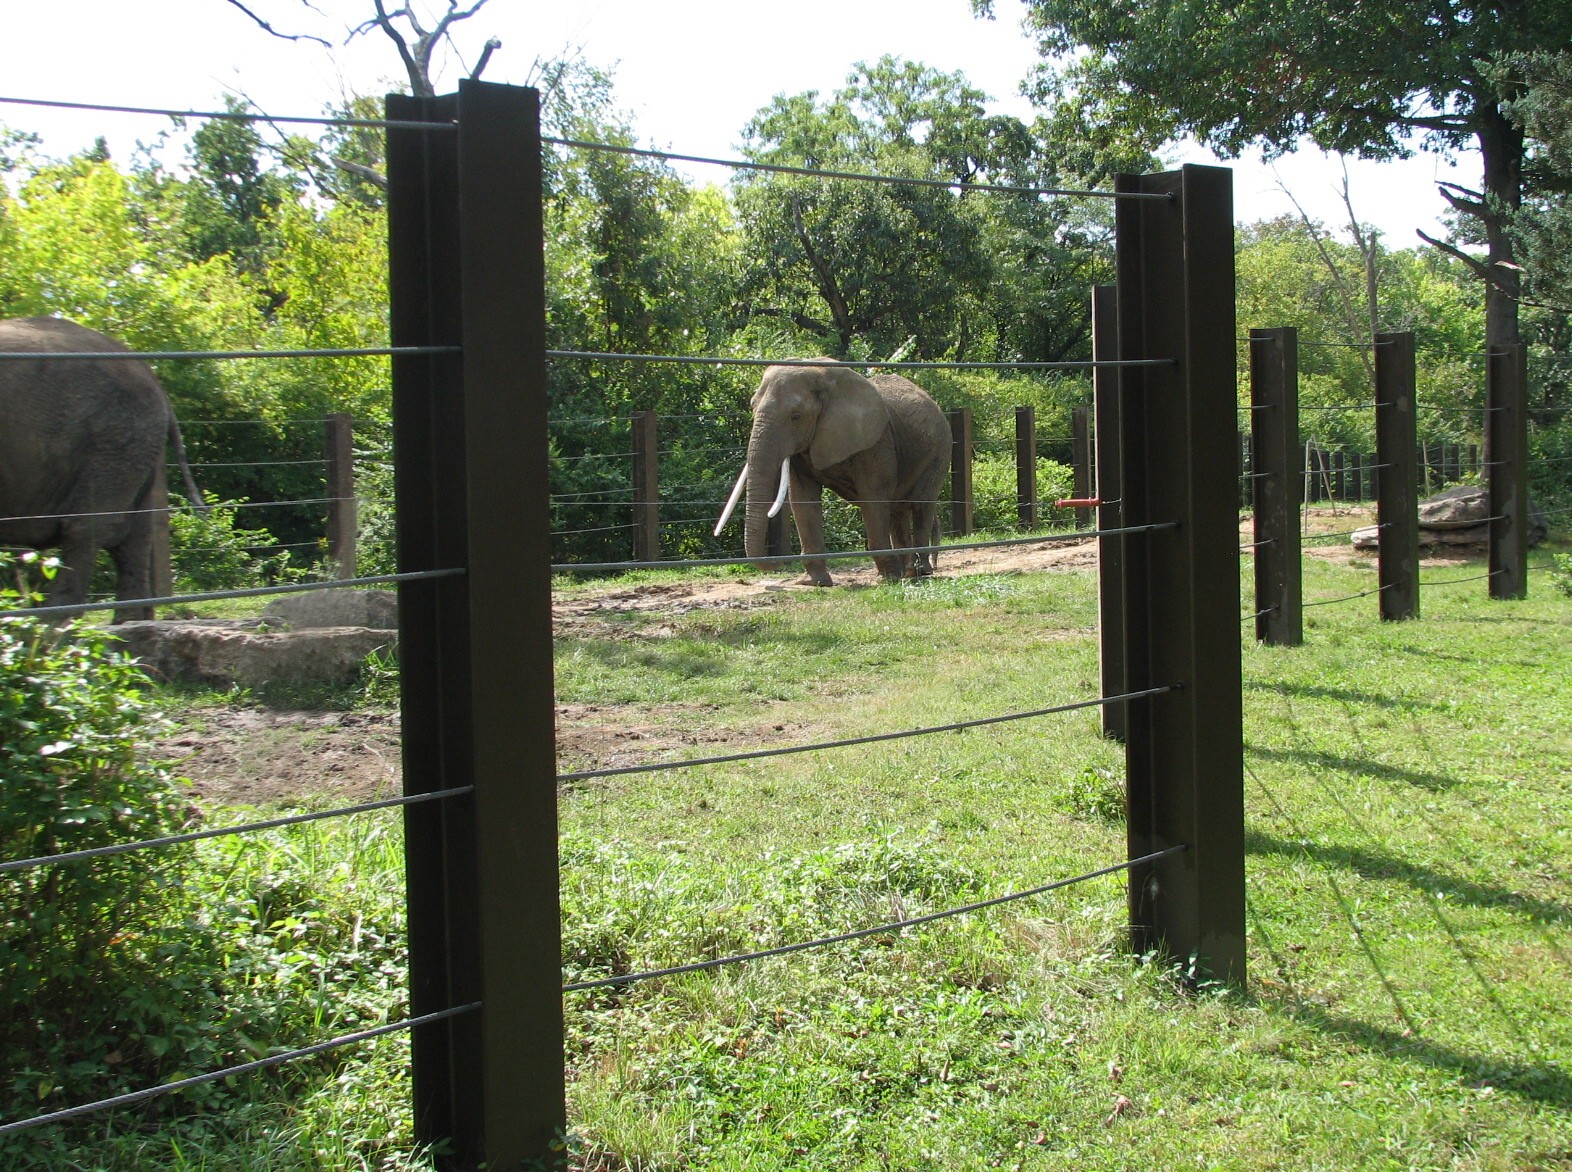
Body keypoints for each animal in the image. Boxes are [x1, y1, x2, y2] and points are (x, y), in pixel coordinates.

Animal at [0, 316, 205, 621]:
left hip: (114, 442)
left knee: (85, 530)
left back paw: (52, 627)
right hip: (133, 448)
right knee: (133, 539)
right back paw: (128, 625)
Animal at [714, 359, 950, 586]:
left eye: (796, 416)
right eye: (752, 406)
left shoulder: (875, 442)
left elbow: (873, 498)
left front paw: (888, 578)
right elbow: (803, 499)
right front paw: (813, 582)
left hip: (939, 452)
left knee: (920, 505)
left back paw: (917, 572)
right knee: (898, 510)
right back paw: (907, 571)